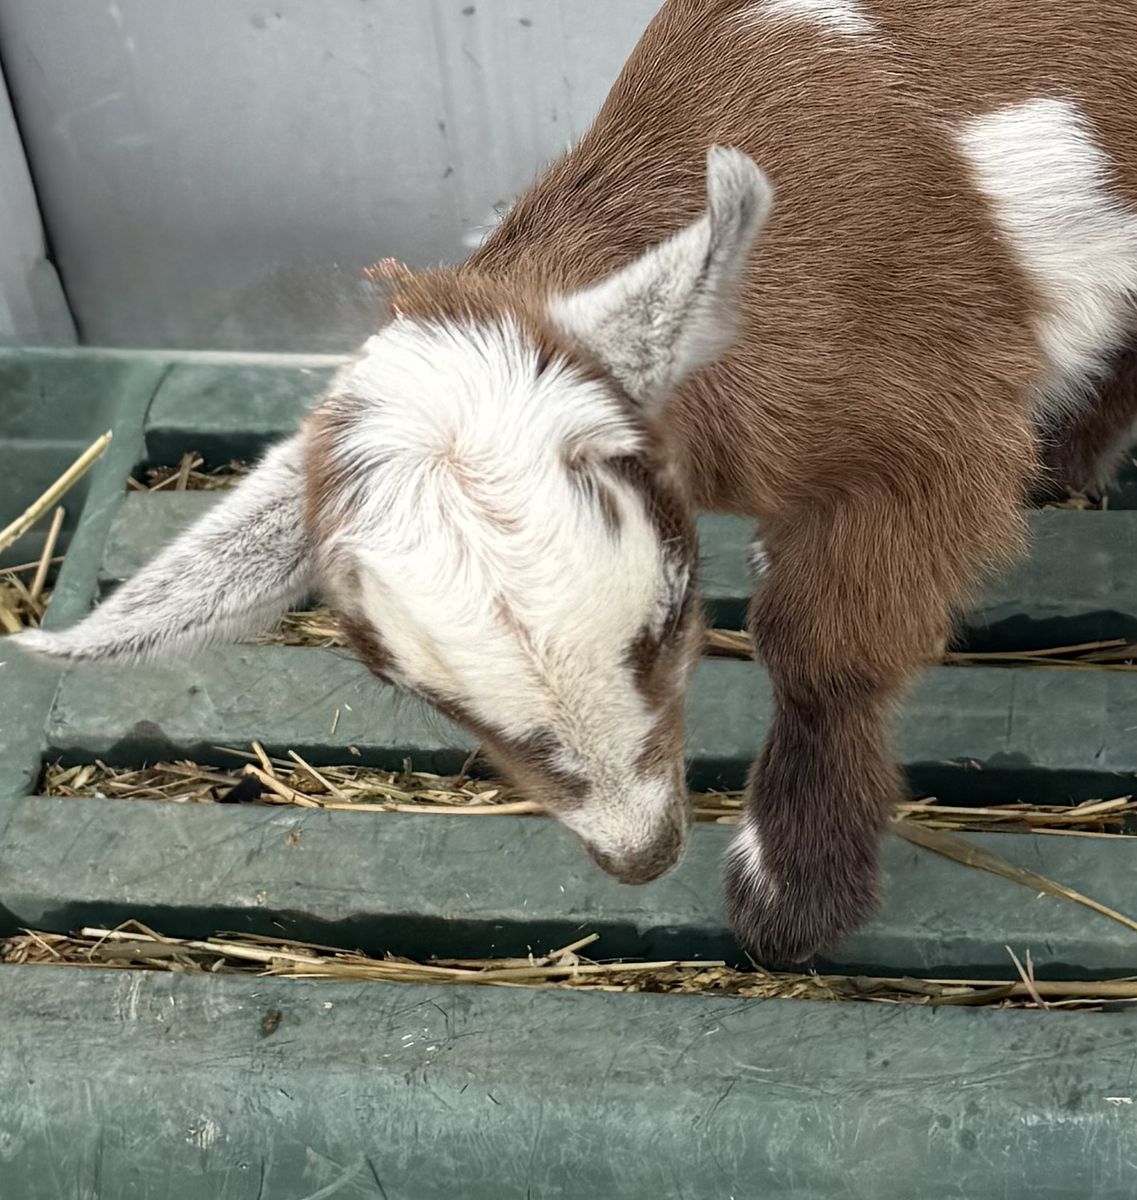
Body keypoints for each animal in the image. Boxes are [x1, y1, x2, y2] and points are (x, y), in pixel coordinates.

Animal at [19, 0, 1137, 962]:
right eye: (415, 689)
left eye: (671, 618)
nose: (641, 853)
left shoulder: (927, 421)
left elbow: (821, 650)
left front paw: (787, 896)